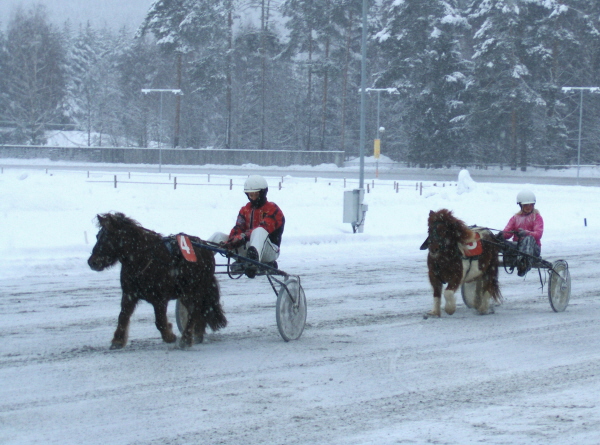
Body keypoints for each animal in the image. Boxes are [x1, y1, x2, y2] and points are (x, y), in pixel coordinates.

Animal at [88, 213, 227, 348]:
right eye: (97, 236)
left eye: (108, 237)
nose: (92, 262)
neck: (142, 259)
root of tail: (206, 248)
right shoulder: (129, 294)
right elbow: (123, 315)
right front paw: (118, 340)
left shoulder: (160, 298)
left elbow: (159, 321)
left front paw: (170, 336)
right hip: (186, 293)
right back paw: (197, 333)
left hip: (196, 289)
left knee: (195, 310)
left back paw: (186, 339)